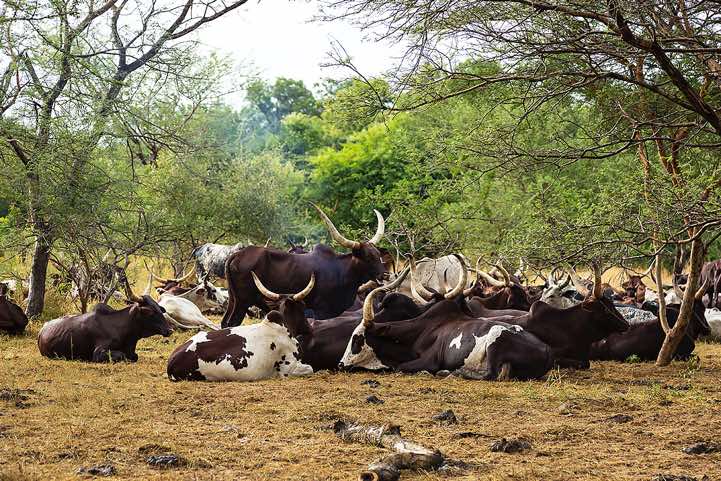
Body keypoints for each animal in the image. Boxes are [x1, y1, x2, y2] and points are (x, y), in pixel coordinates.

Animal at [37, 280, 171, 362]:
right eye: (150, 311)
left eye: (159, 308)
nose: (170, 330)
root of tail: (42, 330)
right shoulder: (98, 353)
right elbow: (122, 355)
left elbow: (134, 356)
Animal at [222, 205, 386, 327]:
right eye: (367, 257)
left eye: (378, 254)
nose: (385, 275)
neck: (341, 270)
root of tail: (237, 254)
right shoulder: (322, 310)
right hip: (242, 302)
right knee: (232, 323)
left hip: (233, 299)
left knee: (225, 323)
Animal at [338, 261, 554, 380]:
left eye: (357, 338)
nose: (340, 364)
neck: (419, 332)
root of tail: (546, 351)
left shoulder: (429, 361)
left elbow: (400, 368)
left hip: (495, 342)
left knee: (490, 374)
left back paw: (451, 372)